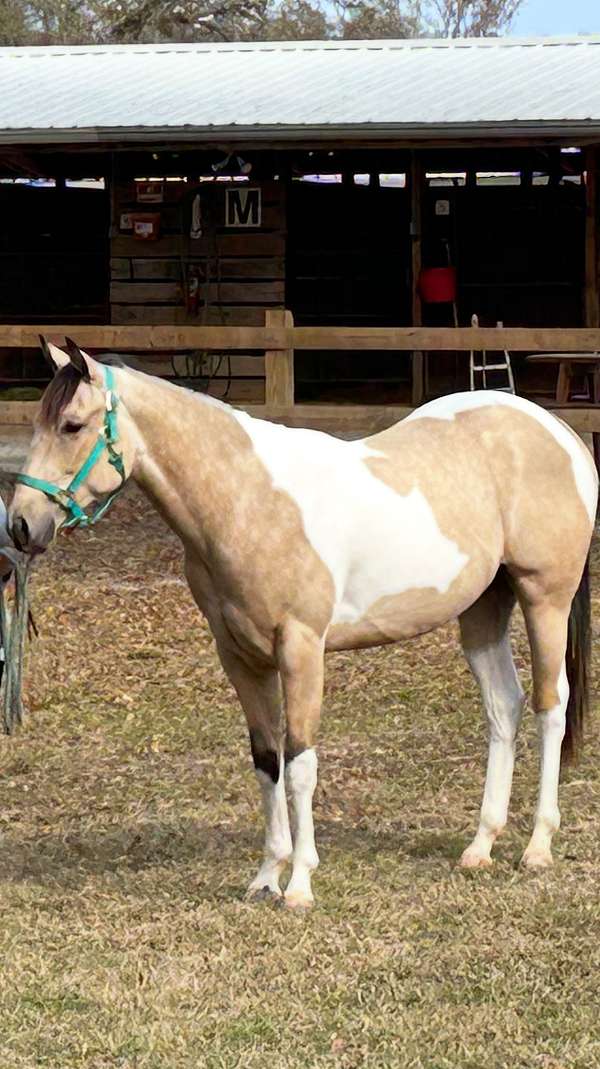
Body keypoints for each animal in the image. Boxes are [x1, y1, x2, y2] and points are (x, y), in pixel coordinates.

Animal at [8, 337, 594, 906]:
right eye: (36, 422)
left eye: (72, 425)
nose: (20, 525)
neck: (250, 502)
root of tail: (558, 432)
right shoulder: (240, 656)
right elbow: (268, 759)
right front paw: (267, 876)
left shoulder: (301, 650)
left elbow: (301, 765)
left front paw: (300, 886)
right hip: (482, 608)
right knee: (503, 706)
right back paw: (481, 845)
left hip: (544, 598)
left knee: (550, 706)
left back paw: (538, 846)